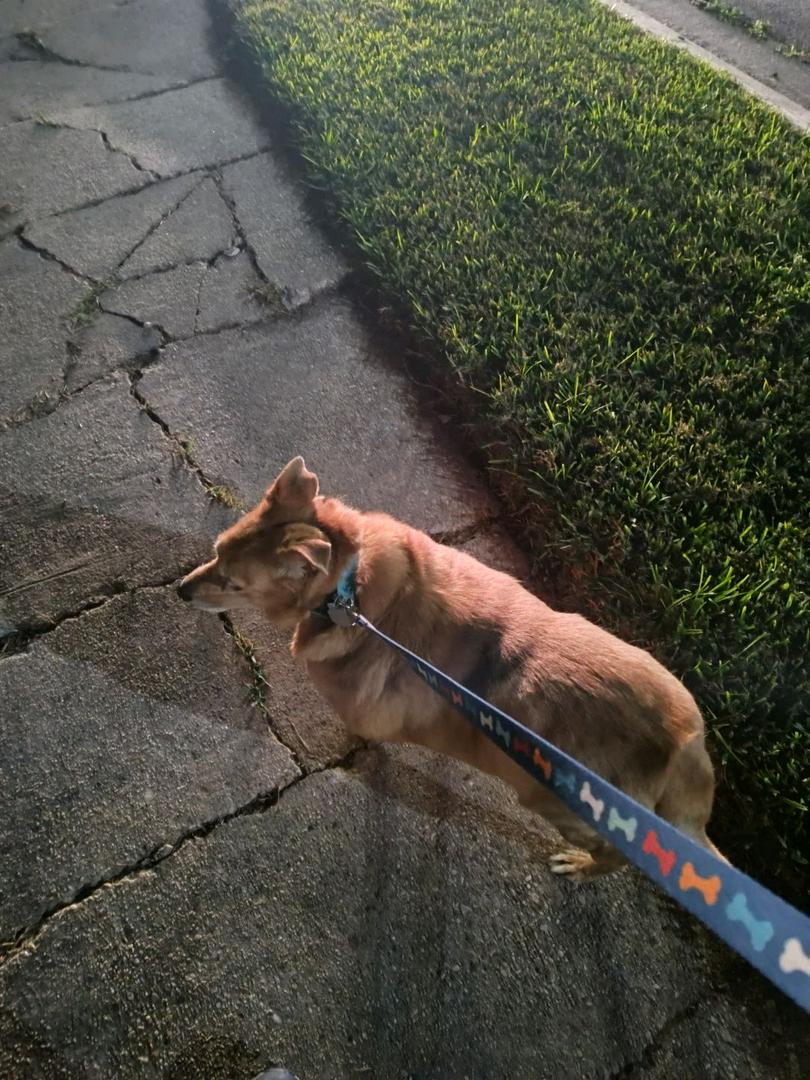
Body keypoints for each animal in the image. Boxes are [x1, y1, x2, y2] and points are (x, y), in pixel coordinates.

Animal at [178, 456, 724, 877]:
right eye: (216, 551)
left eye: (234, 583)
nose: (180, 590)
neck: (347, 590)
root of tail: (683, 741)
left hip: (555, 806)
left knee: (617, 859)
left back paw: (582, 866)